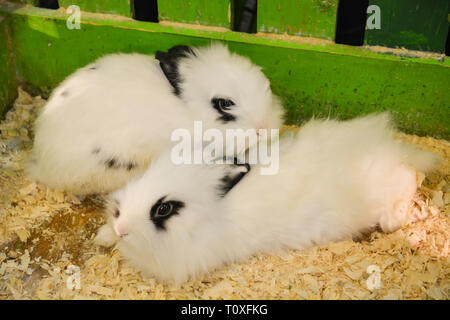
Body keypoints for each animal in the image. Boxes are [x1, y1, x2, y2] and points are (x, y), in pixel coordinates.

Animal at [93, 112, 442, 282]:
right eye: (142, 177)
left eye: (164, 208)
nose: (122, 228)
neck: (210, 215)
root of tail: (391, 150)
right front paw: (103, 238)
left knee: (408, 182)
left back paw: (414, 213)